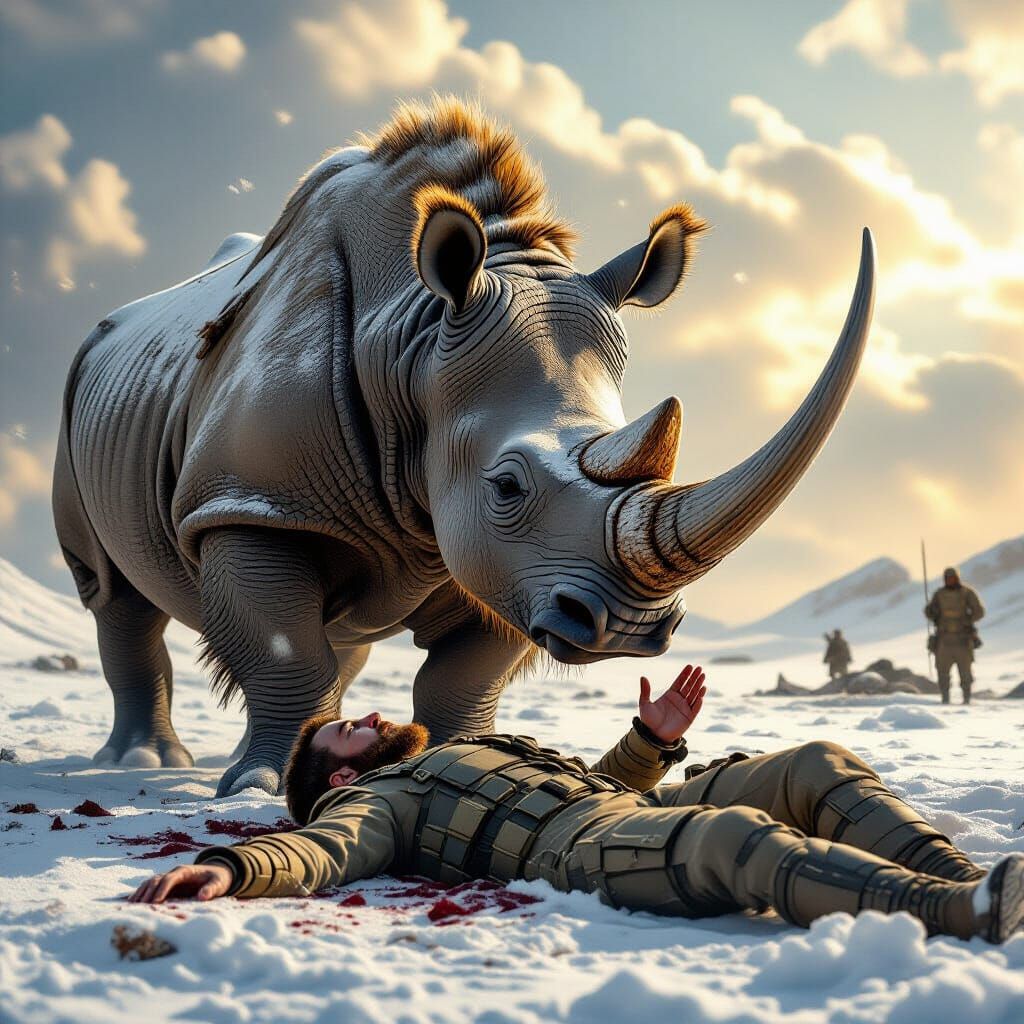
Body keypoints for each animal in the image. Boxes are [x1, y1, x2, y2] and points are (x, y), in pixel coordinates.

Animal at [53, 98, 874, 796]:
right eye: (506, 485)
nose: (634, 627)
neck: (411, 338)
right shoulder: (250, 503)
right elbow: (285, 653)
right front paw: (259, 785)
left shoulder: (508, 562)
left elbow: (462, 675)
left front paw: (455, 750)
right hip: (82, 397)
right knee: (117, 596)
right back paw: (143, 764)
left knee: (342, 633)